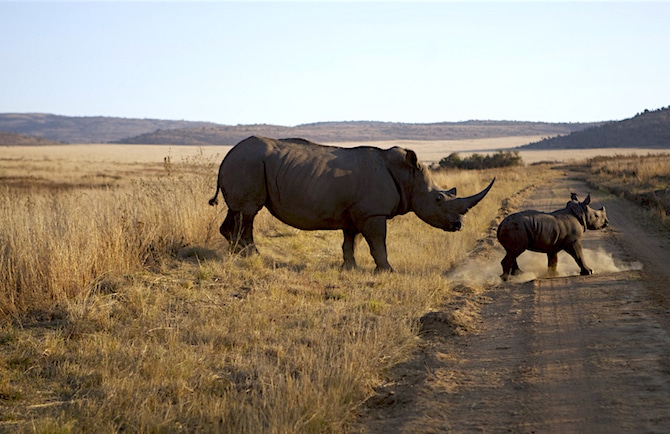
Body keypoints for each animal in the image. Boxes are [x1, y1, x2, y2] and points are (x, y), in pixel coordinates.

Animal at [207, 136, 496, 272]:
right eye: (438, 199)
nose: (458, 226)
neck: (408, 176)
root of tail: (227, 155)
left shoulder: (356, 213)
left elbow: (350, 241)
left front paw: (350, 268)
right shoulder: (372, 213)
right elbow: (378, 243)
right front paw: (388, 271)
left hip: (246, 163)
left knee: (236, 211)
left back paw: (234, 254)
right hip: (248, 163)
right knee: (249, 212)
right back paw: (252, 256)